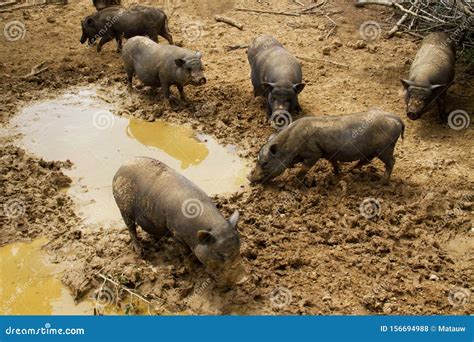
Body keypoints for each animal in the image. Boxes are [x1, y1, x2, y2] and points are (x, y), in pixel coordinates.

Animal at [114, 158, 248, 286]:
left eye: (238, 249)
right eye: (220, 255)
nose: (243, 279)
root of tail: (120, 167)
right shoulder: (176, 233)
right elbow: (185, 252)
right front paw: (192, 271)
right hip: (123, 208)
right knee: (131, 228)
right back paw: (141, 253)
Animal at [246, 109, 406, 184]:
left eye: (264, 163)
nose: (248, 177)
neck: (290, 145)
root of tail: (397, 118)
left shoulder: (314, 153)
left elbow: (305, 168)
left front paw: (296, 180)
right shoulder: (328, 153)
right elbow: (333, 162)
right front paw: (337, 174)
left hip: (385, 148)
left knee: (392, 161)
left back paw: (382, 182)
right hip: (373, 150)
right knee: (365, 160)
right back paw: (349, 170)